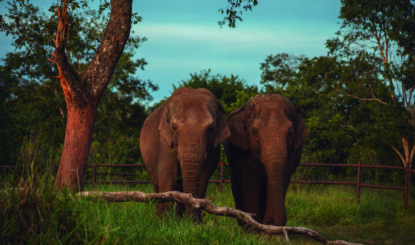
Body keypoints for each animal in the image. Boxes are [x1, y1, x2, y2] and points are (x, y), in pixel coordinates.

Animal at [140, 87, 231, 220]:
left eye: (211, 128)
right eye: (173, 127)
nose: (192, 219)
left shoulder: (214, 147)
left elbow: (203, 176)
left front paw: (192, 223)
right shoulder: (166, 141)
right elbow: (169, 173)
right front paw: (164, 222)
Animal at [224, 94, 308, 226]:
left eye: (290, 131)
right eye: (254, 131)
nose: (270, 219)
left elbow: (281, 179)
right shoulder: (241, 154)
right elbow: (249, 181)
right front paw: (253, 226)